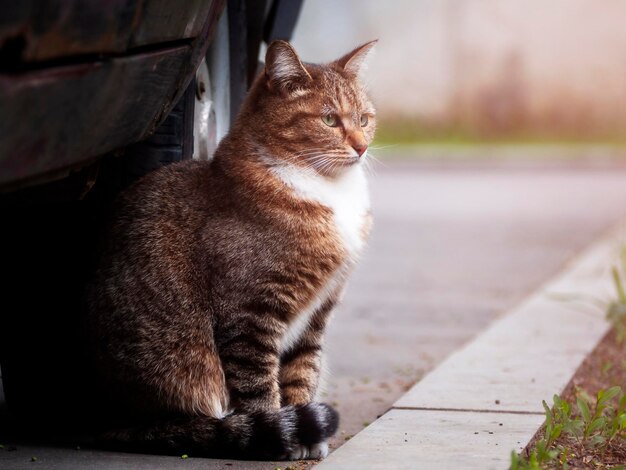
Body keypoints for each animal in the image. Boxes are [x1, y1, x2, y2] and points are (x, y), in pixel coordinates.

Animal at [86, 38, 376, 460]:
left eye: (365, 119)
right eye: (328, 120)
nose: (362, 147)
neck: (324, 187)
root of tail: (101, 418)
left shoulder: (318, 313)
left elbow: (303, 372)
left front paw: (308, 434)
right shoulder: (249, 312)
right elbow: (258, 387)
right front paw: (278, 435)